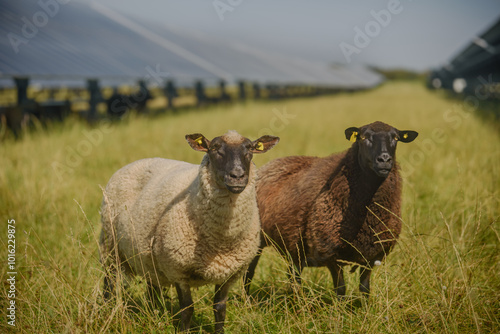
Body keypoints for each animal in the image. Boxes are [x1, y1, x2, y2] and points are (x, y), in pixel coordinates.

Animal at [99, 130, 280, 332]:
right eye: (214, 148)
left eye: (250, 148)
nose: (237, 176)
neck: (221, 241)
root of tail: (135, 162)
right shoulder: (177, 269)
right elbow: (187, 309)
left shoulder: (228, 273)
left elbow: (220, 308)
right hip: (110, 245)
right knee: (109, 282)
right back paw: (106, 311)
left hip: (147, 256)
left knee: (152, 288)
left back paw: (154, 314)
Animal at [244, 121, 416, 296]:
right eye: (363, 137)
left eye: (396, 137)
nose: (384, 159)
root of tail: (270, 164)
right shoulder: (331, 253)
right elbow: (340, 290)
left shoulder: (372, 256)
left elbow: (365, 289)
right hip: (257, 239)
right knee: (249, 273)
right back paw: (248, 299)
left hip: (293, 245)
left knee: (293, 276)